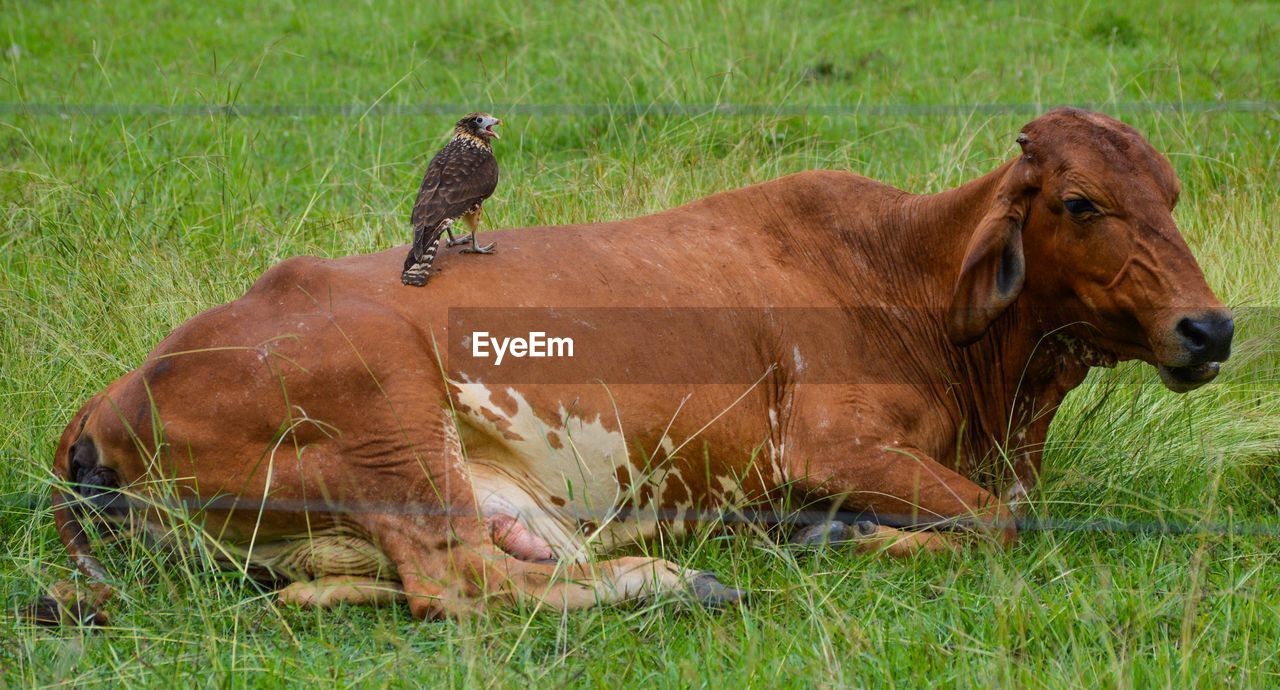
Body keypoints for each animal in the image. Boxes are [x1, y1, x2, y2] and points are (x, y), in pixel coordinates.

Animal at [30, 109, 1228, 627]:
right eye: (1080, 201)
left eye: (1171, 190)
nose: (1210, 328)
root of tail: (111, 393)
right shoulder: (826, 441)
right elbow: (999, 521)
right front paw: (833, 533)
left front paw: (821, 532)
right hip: (390, 419)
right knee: (454, 584)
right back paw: (676, 579)